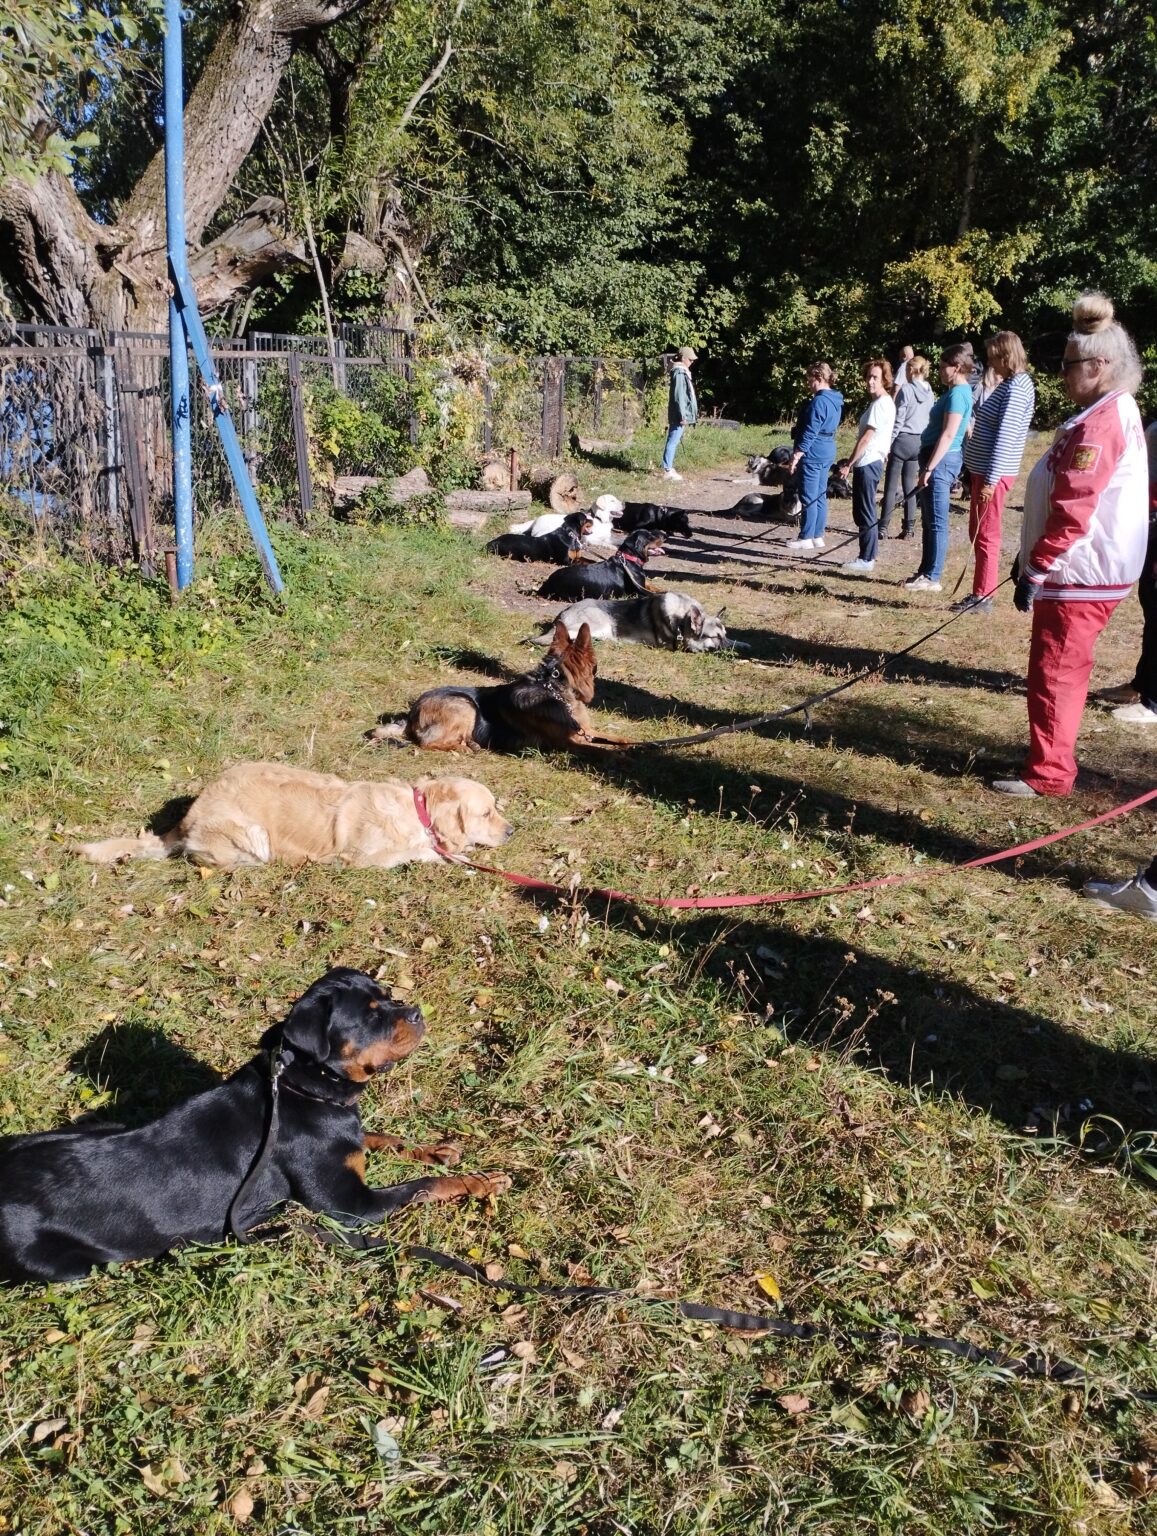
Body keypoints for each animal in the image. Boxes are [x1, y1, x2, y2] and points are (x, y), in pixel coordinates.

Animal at [0, 970, 507, 1284]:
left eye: (388, 997)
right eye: (370, 1015)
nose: (417, 1012)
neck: (303, 1087)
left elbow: (379, 1138)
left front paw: (437, 1150)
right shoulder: (348, 1207)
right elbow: (420, 1187)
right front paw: (477, 1182)